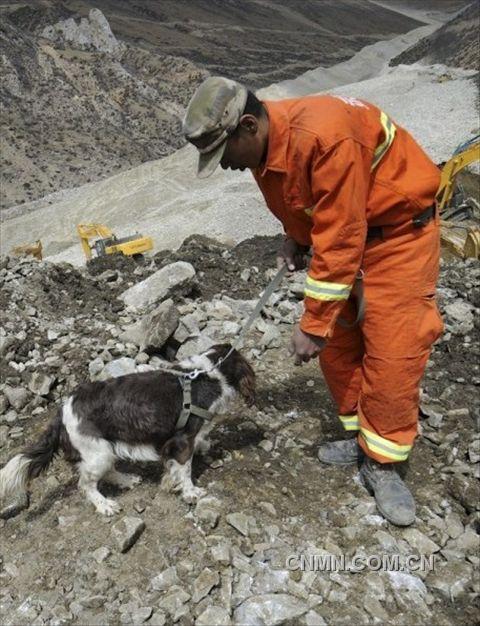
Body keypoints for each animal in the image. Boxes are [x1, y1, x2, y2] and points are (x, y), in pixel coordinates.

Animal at [0, 344, 255, 516]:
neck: (208, 374)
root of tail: (62, 412)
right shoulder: (182, 440)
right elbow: (185, 468)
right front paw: (191, 492)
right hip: (98, 451)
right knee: (86, 483)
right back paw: (105, 505)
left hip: (104, 449)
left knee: (106, 471)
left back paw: (126, 479)